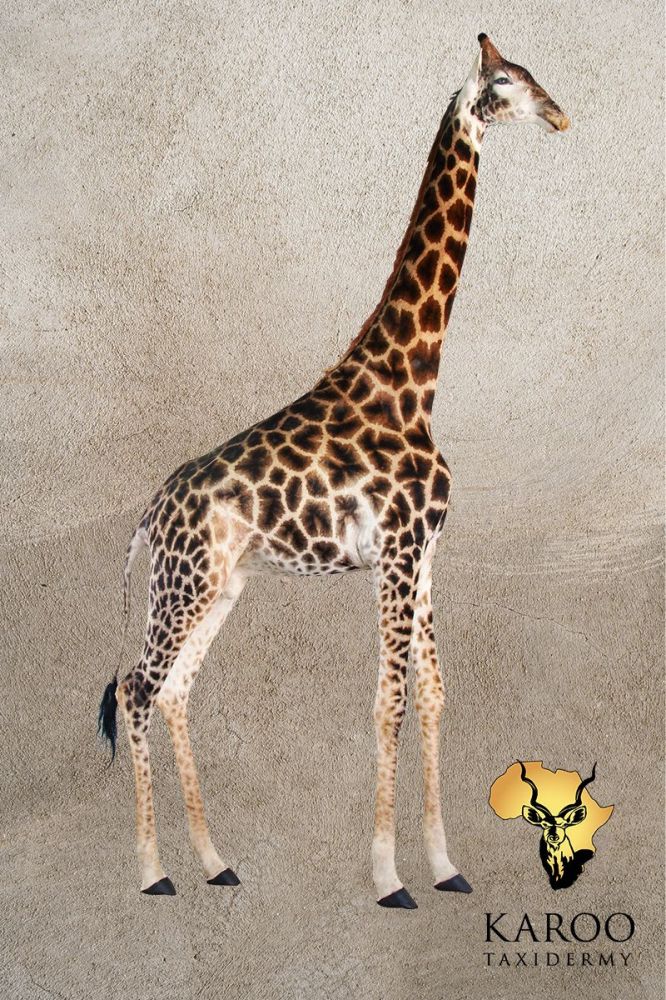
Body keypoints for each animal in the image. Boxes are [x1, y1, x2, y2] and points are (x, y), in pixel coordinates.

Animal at [98, 33, 569, 908]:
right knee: (136, 687)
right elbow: (389, 700)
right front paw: (388, 879)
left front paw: (446, 866)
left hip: (220, 584)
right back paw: (153, 873)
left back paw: (216, 863)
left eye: (530, 74)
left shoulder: (423, 554)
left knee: (174, 690)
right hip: (184, 583)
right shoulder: (393, 553)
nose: (559, 114)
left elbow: (435, 697)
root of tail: (151, 510)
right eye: (503, 82)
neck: (412, 381)